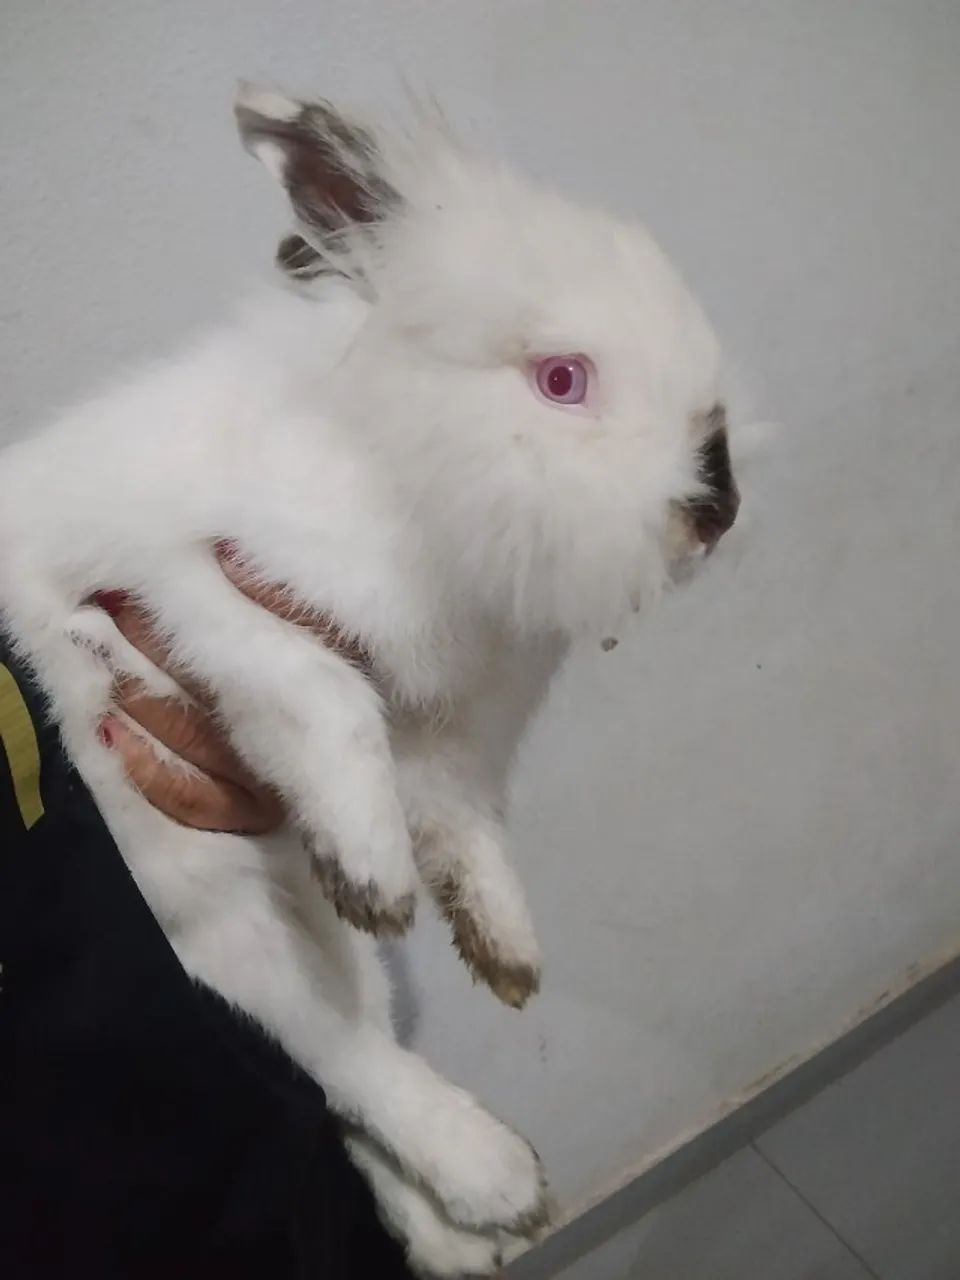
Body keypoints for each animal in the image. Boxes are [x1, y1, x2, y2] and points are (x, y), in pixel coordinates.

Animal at [0, 83, 740, 1277]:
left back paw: (455, 1233)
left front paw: (507, 954)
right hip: (205, 905)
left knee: (347, 1070)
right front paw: (377, 872)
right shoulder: (172, 578)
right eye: (562, 379)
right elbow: (318, 690)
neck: (408, 473)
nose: (718, 509)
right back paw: (497, 1178)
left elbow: (465, 829)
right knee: (339, 1059)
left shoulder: (448, 738)